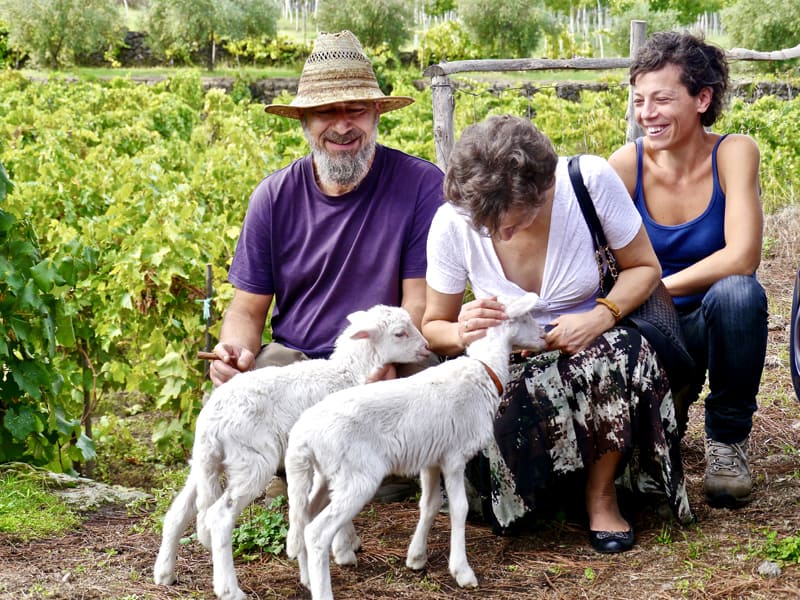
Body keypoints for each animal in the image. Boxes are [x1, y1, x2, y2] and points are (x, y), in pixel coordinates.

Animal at [151, 304, 432, 600]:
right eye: (400, 333)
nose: (426, 347)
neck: (347, 373)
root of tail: (211, 421)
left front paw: (348, 543)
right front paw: (344, 550)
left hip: (206, 461)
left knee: (178, 512)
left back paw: (165, 573)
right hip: (251, 460)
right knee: (219, 518)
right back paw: (229, 589)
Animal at [284, 292, 548, 596]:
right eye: (526, 317)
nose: (544, 336)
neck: (484, 371)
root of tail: (303, 435)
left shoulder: (432, 458)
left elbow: (429, 504)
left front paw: (416, 557)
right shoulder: (454, 456)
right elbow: (459, 508)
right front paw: (462, 571)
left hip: (324, 473)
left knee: (303, 518)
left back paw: (306, 579)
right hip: (357, 475)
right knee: (317, 532)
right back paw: (323, 591)